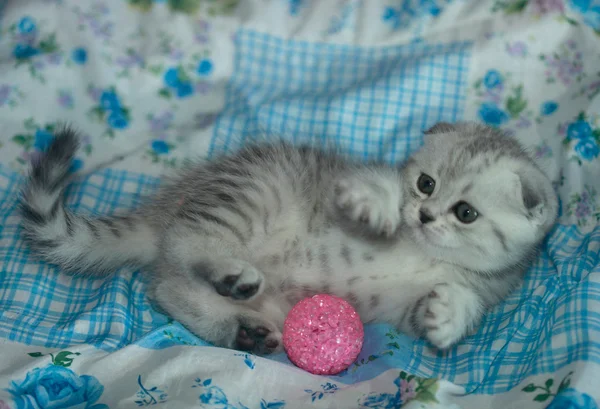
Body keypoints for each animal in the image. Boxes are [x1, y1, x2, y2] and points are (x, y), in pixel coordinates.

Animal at [22, 121, 556, 354]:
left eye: (465, 213)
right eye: (425, 183)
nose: (423, 215)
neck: (425, 253)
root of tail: (170, 203)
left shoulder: (407, 308)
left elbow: (449, 304)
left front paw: (449, 316)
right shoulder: (338, 194)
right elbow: (368, 191)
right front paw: (379, 203)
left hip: (272, 292)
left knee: (168, 286)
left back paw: (240, 328)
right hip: (258, 189)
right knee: (187, 242)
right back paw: (229, 272)